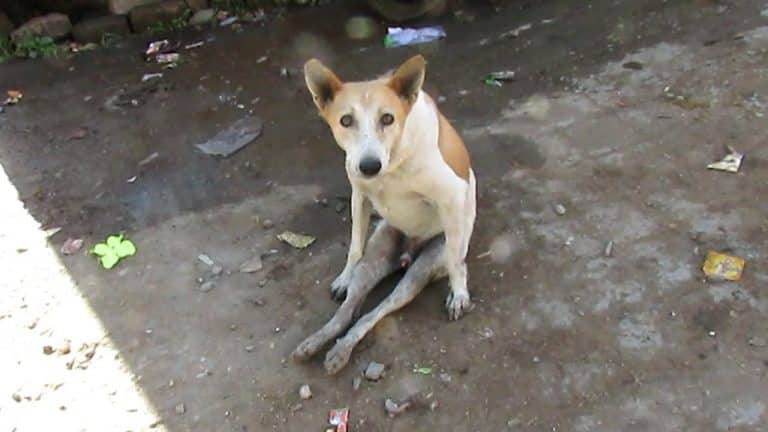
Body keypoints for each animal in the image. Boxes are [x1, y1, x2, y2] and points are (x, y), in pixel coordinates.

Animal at [292, 54, 474, 374]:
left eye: (388, 118)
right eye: (346, 120)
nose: (369, 166)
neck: (394, 159)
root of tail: (407, 254)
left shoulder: (452, 194)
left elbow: (456, 261)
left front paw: (459, 292)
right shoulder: (359, 194)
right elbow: (354, 245)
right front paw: (344, 276)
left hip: (419, 273)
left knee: (375, 312)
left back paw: (340, 351)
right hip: (375, 257)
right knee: (349, 310)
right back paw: (317, 344)